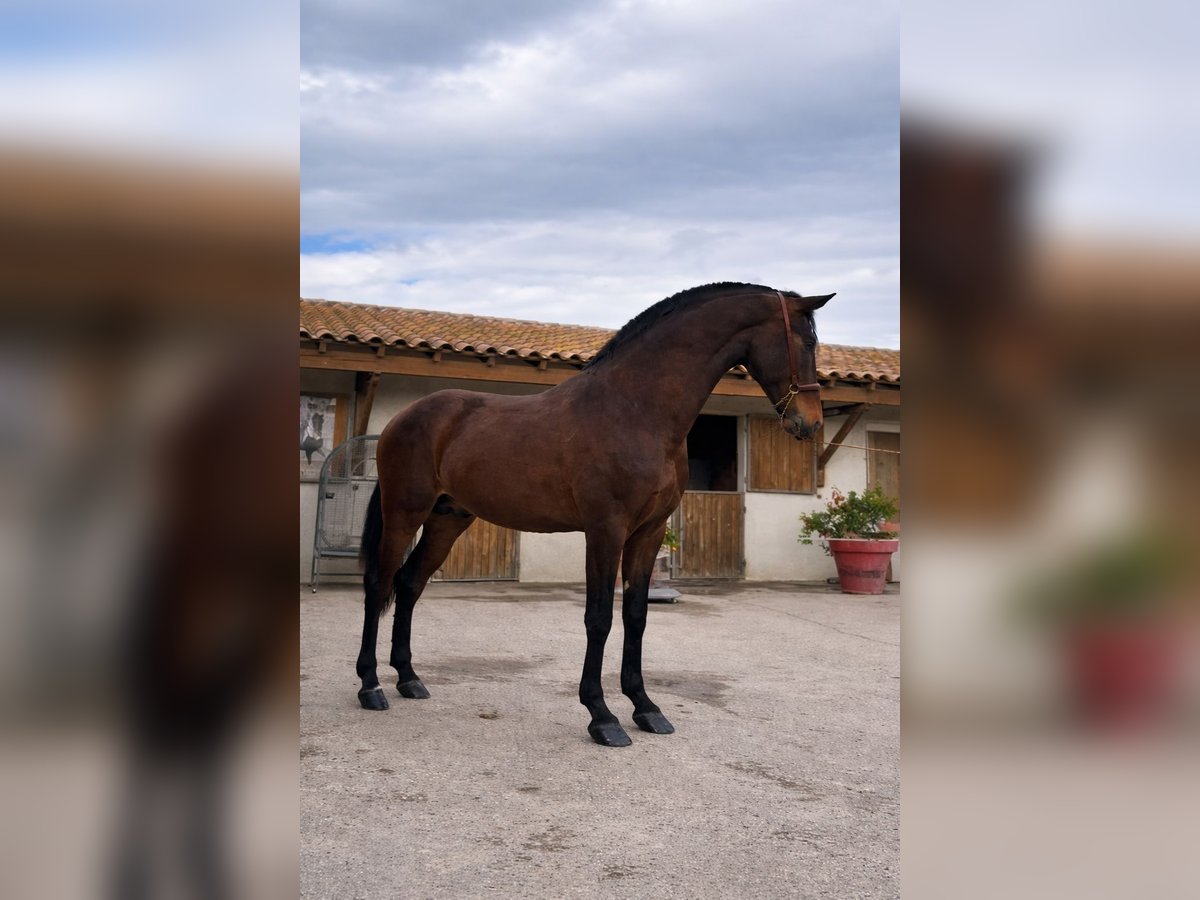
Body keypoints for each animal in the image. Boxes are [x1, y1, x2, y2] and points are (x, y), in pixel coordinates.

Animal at [356, 282, 834, 746]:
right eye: (808, 342)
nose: (810, 424)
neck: (636, 410)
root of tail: (404, 417)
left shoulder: (649, 532)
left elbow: (636, 616)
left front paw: (646, 708)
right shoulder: (606, 529)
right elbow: (599, 617)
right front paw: (602, 716)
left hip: (448, 519)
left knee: (409, 584)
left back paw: (409, 679)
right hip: (404, 511)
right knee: (380, 582)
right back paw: (371, 686)